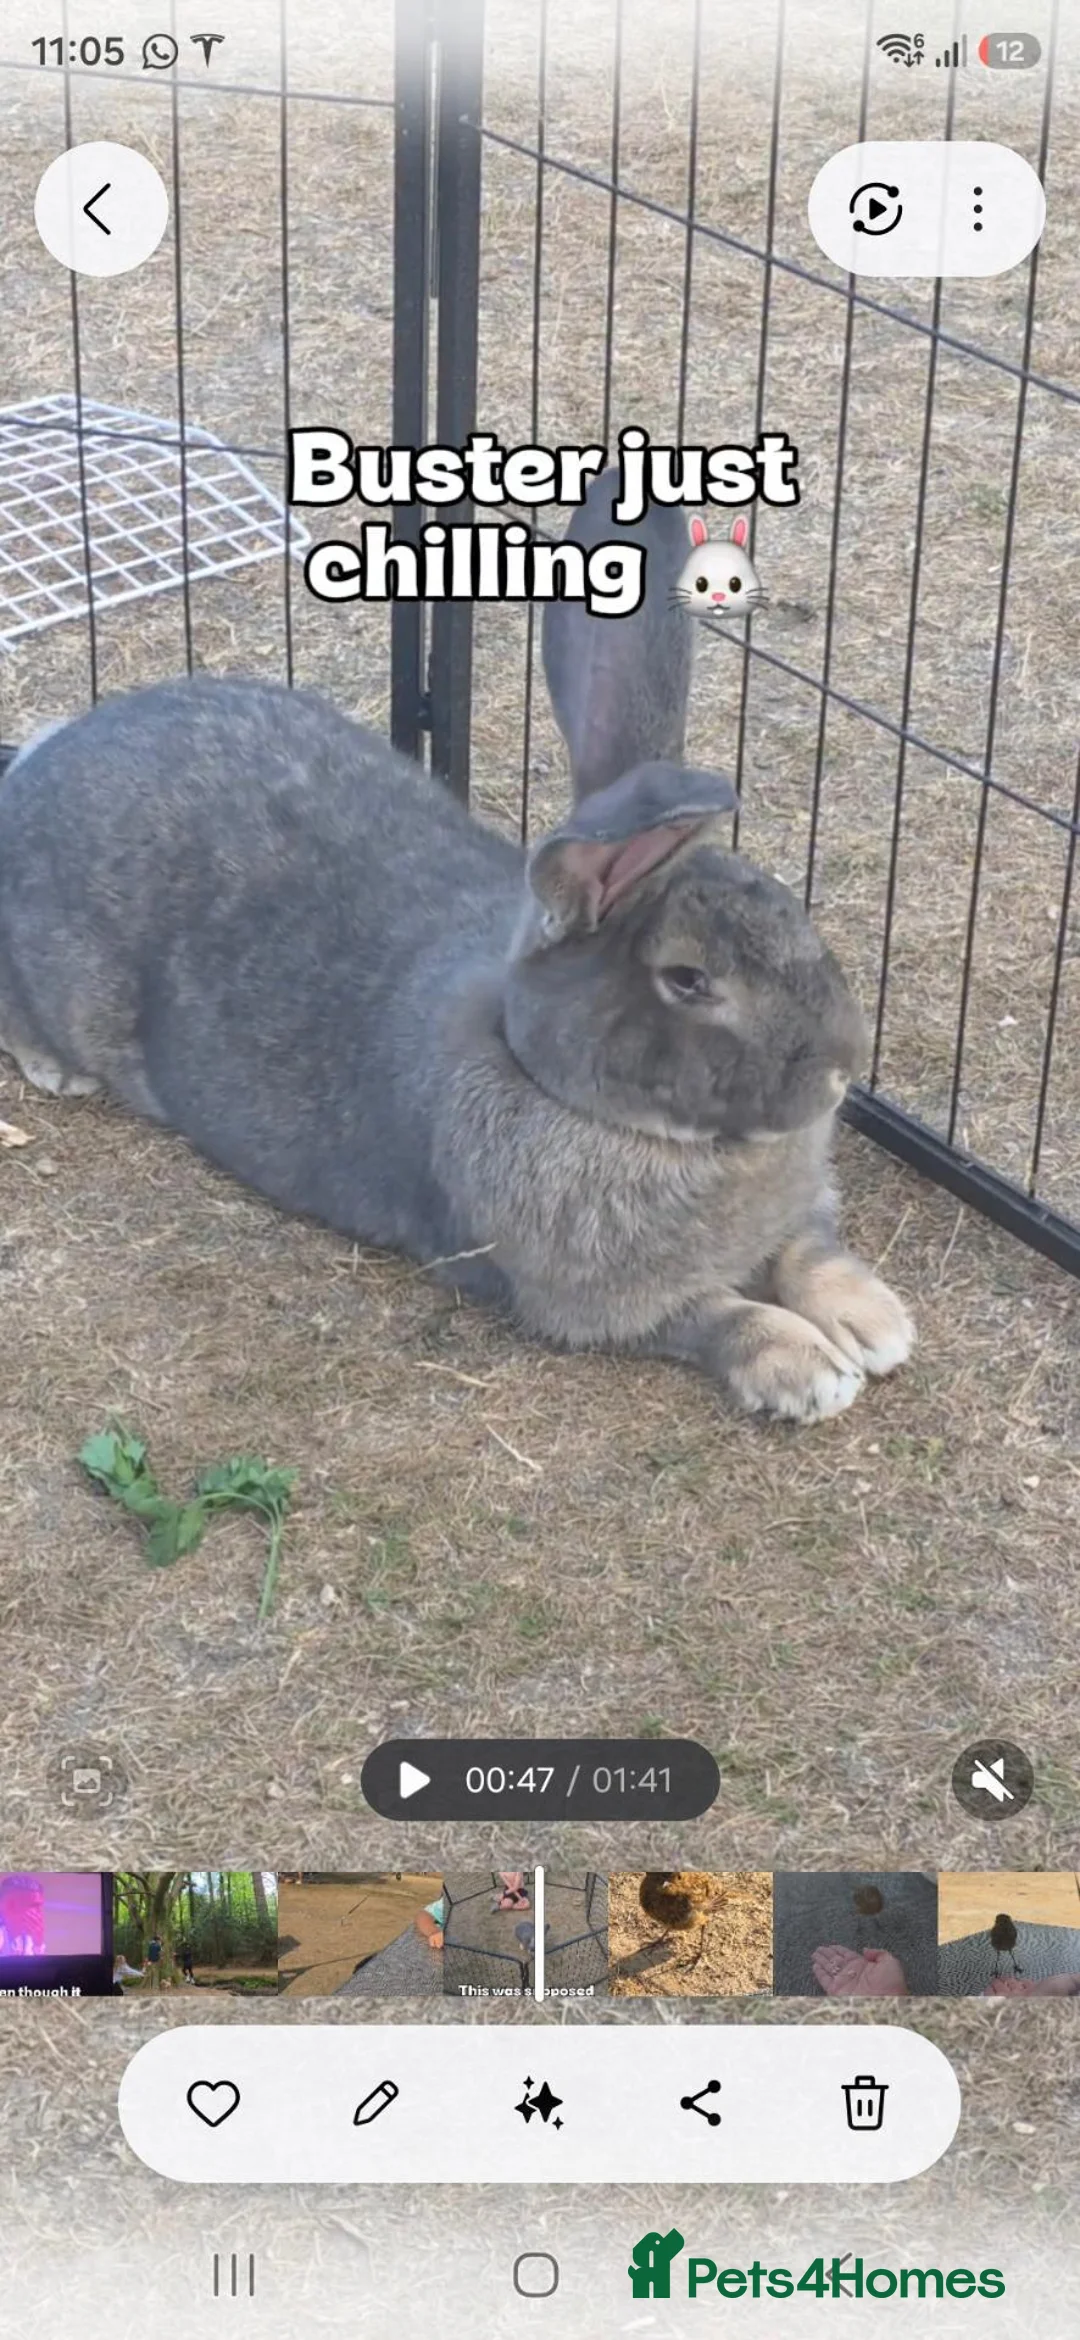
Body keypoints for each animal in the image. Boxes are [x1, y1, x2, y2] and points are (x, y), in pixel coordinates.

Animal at [0, 504, 912, 1425]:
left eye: (788, 907)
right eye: (687, 981)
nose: (841, 1069)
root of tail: (35, 766)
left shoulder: (792, 1220)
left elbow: (805, 1253)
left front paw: (875, 1323)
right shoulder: (586, 1302)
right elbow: (717, 1316)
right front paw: (809, 1369)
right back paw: (55, 1069)